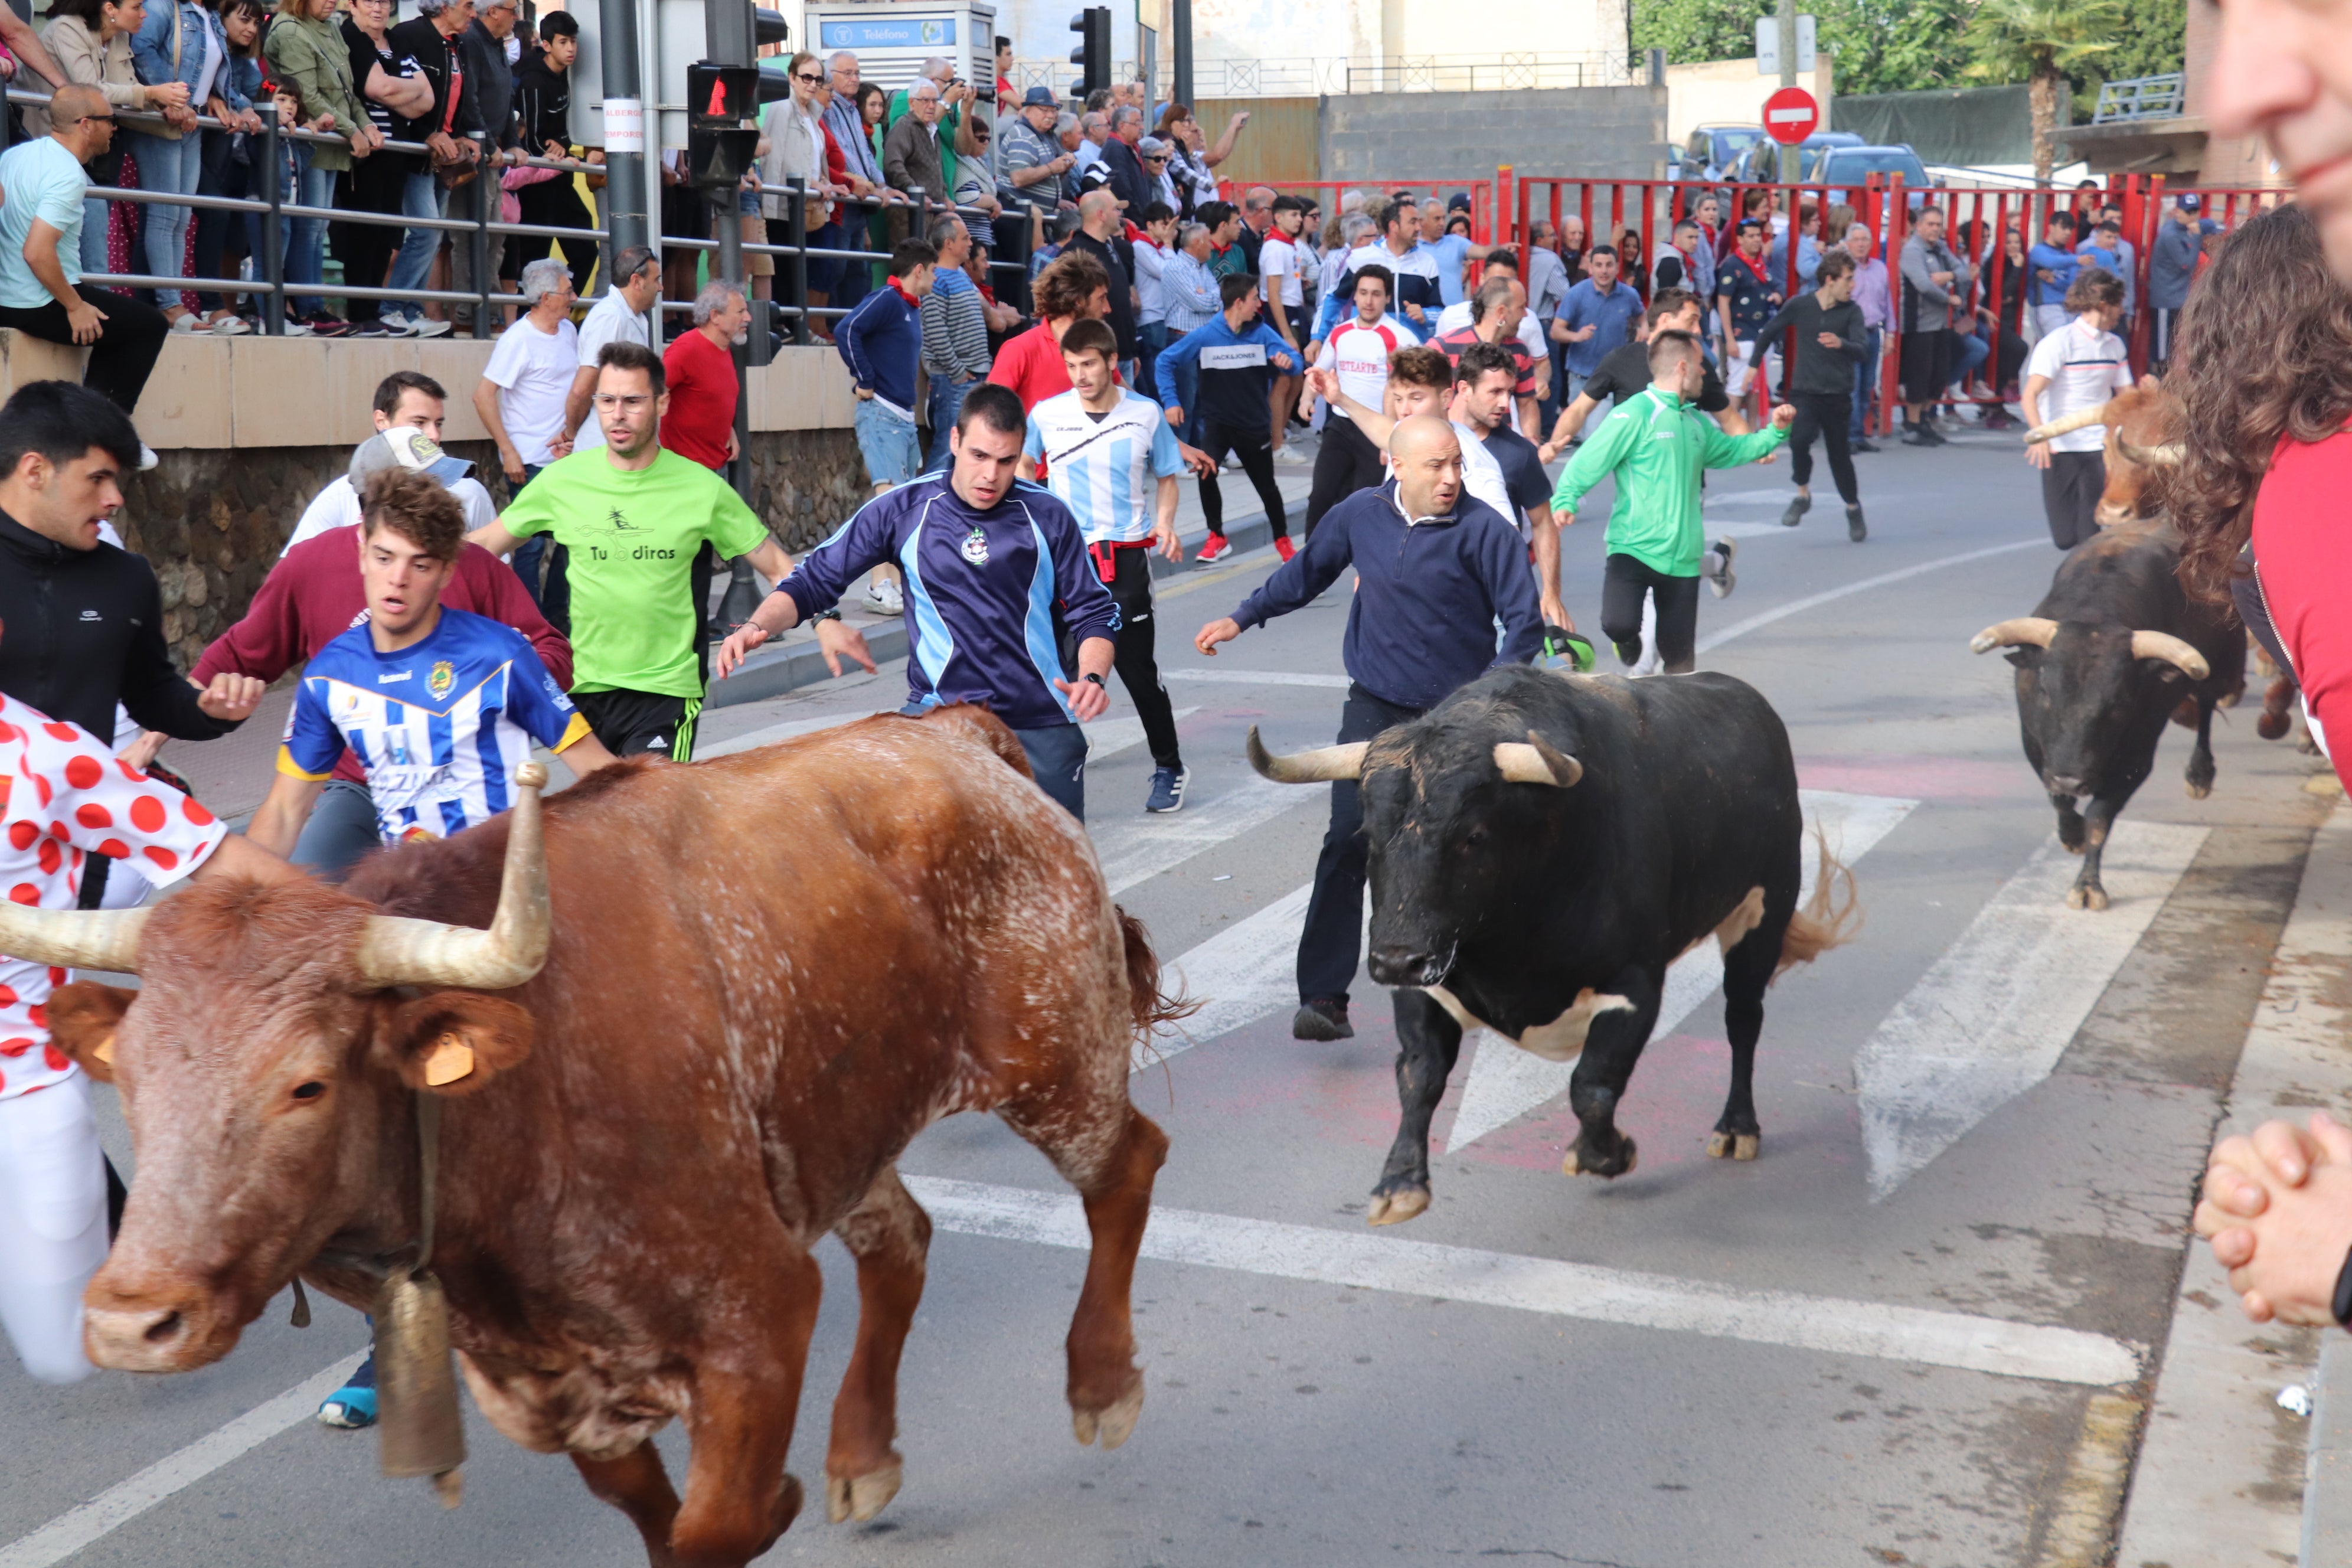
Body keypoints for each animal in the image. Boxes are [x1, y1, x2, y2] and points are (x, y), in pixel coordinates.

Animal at [0, 710, 1176, 1568]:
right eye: (133, 1078)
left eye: (307, 1082)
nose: (132, 1319)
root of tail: (947, 731)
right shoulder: (541, 1384)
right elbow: (655, 1520)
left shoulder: (757, 1316)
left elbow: (713, 1528)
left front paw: (779, 1499)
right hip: (834, 1130)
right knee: (901, 1243)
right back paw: (861, 1456)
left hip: (1053, 1057)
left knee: (1128, 1164)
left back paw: (1101, 1385)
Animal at [1251, 662, 1853, 1222]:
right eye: (1369, 835)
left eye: (1473, 836)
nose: (1395, 960)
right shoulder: (1427, 984)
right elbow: (1419, 1074)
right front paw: (1400, 1184)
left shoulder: (1635, 983)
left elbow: (1593, 1085)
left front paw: (1609, 1155)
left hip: (1764, 913)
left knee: (1743, 1020)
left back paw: (1736, 1128)